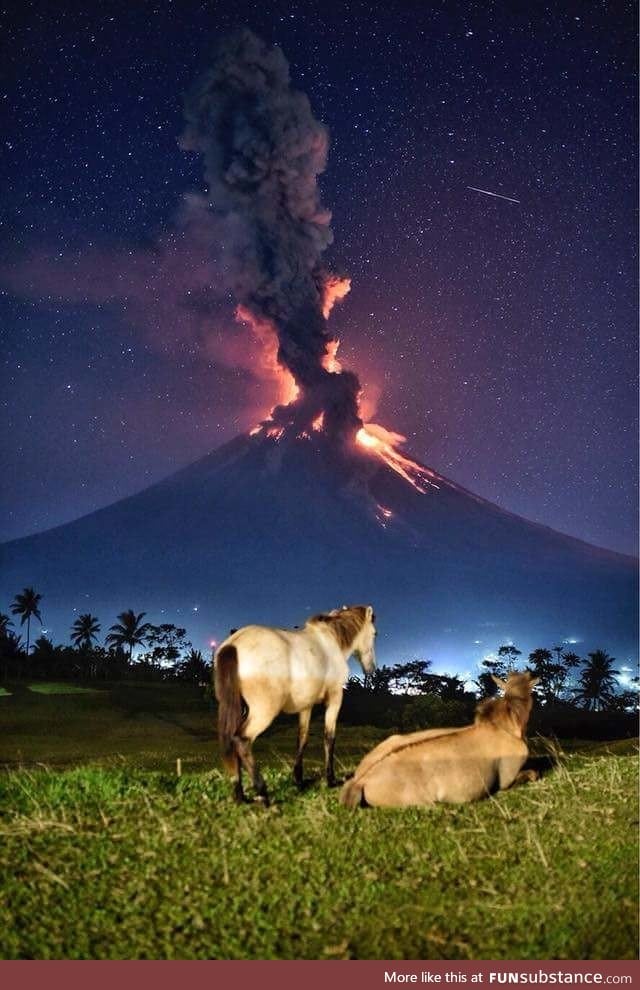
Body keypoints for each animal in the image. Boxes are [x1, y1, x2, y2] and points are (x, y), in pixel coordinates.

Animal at [212, 604, 378, 808]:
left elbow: (302, 739)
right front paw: (330, 780)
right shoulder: (335, 699)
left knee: (231, 741)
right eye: (374, 633)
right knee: (241, 741)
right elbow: (329, 738)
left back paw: (240, 796)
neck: (330, 640)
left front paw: (298, 779)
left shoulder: (306, 706)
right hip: (263, 712)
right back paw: (263, 793)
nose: (372, 668)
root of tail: (234, 644)